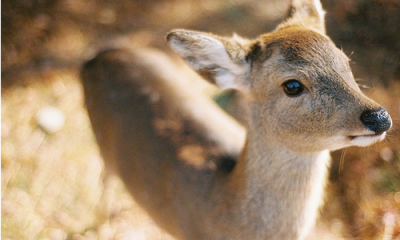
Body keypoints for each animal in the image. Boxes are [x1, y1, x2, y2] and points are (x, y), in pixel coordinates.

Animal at [79, 0, 392, 239]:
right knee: (103, 180)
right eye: (292, 85)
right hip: (100, 141)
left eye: (346, 63)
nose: (379, 117)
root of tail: (98, 55)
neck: (225, 211)